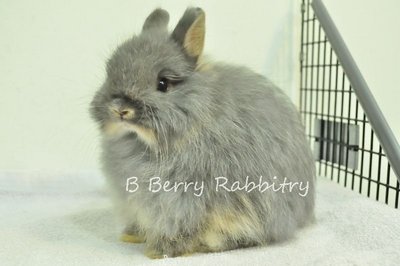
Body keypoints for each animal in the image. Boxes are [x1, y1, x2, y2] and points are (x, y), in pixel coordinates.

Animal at [90, 7, 316, 258]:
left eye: (163, 83)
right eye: (109, 73)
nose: (120, 110)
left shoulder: (186, 201)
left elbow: (185, 229)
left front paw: (160, 251)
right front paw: (132, 235)